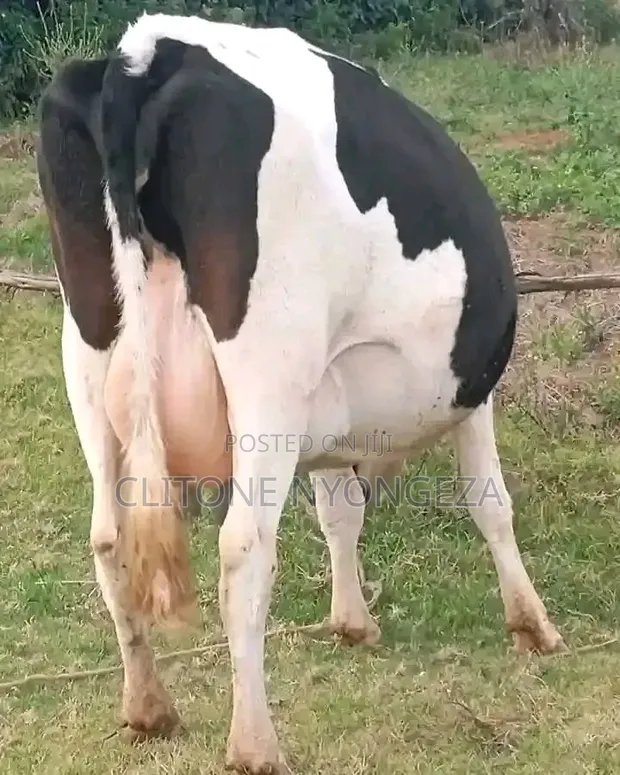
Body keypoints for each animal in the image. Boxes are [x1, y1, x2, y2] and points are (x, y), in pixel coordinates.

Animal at [35, 12, 565, 773]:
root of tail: (148, 49)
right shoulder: (472, 395)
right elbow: (489, 501)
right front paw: (532, 624)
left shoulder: (329, 411)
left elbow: (339, 511)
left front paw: (351, 620)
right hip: (268, 368)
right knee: (243, 547)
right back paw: (254, 742)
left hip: (89, 351)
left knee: (109, 537)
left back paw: (148, 707)